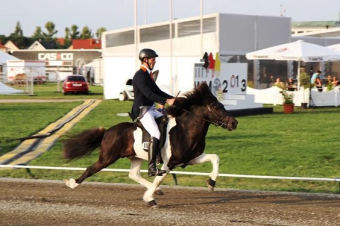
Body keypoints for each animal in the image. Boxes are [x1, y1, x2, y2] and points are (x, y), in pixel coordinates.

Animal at [64, 82, 239, 207]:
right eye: (215, 107)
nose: (234, 123)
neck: (185, 129)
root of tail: (108, 131)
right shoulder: (169, 164)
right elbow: (158, 179)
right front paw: (149, 199)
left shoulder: (190, 159)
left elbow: (215, 158)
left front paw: (211, 183)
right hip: (107, 158)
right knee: (91, 169)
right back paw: (72, 184)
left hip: (135, 157)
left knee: (133, 174)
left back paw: (157, 191)